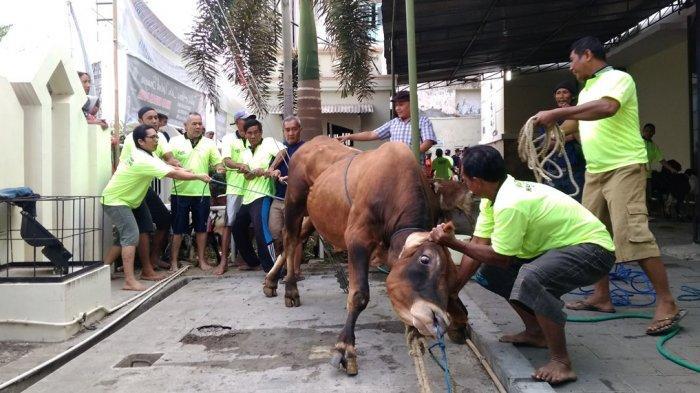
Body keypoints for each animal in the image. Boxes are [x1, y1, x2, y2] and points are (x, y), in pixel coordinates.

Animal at [278, 137, 470, 374]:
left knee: (299, 239)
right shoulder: (357, 238)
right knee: (290, 239)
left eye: (452, 277)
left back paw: (271, 282)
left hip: (315, 215)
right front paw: (345, 348)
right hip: (294, 201)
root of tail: (309, 143)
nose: (439, 321)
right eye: (424, 259)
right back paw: (290, 289)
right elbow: (359, 295)